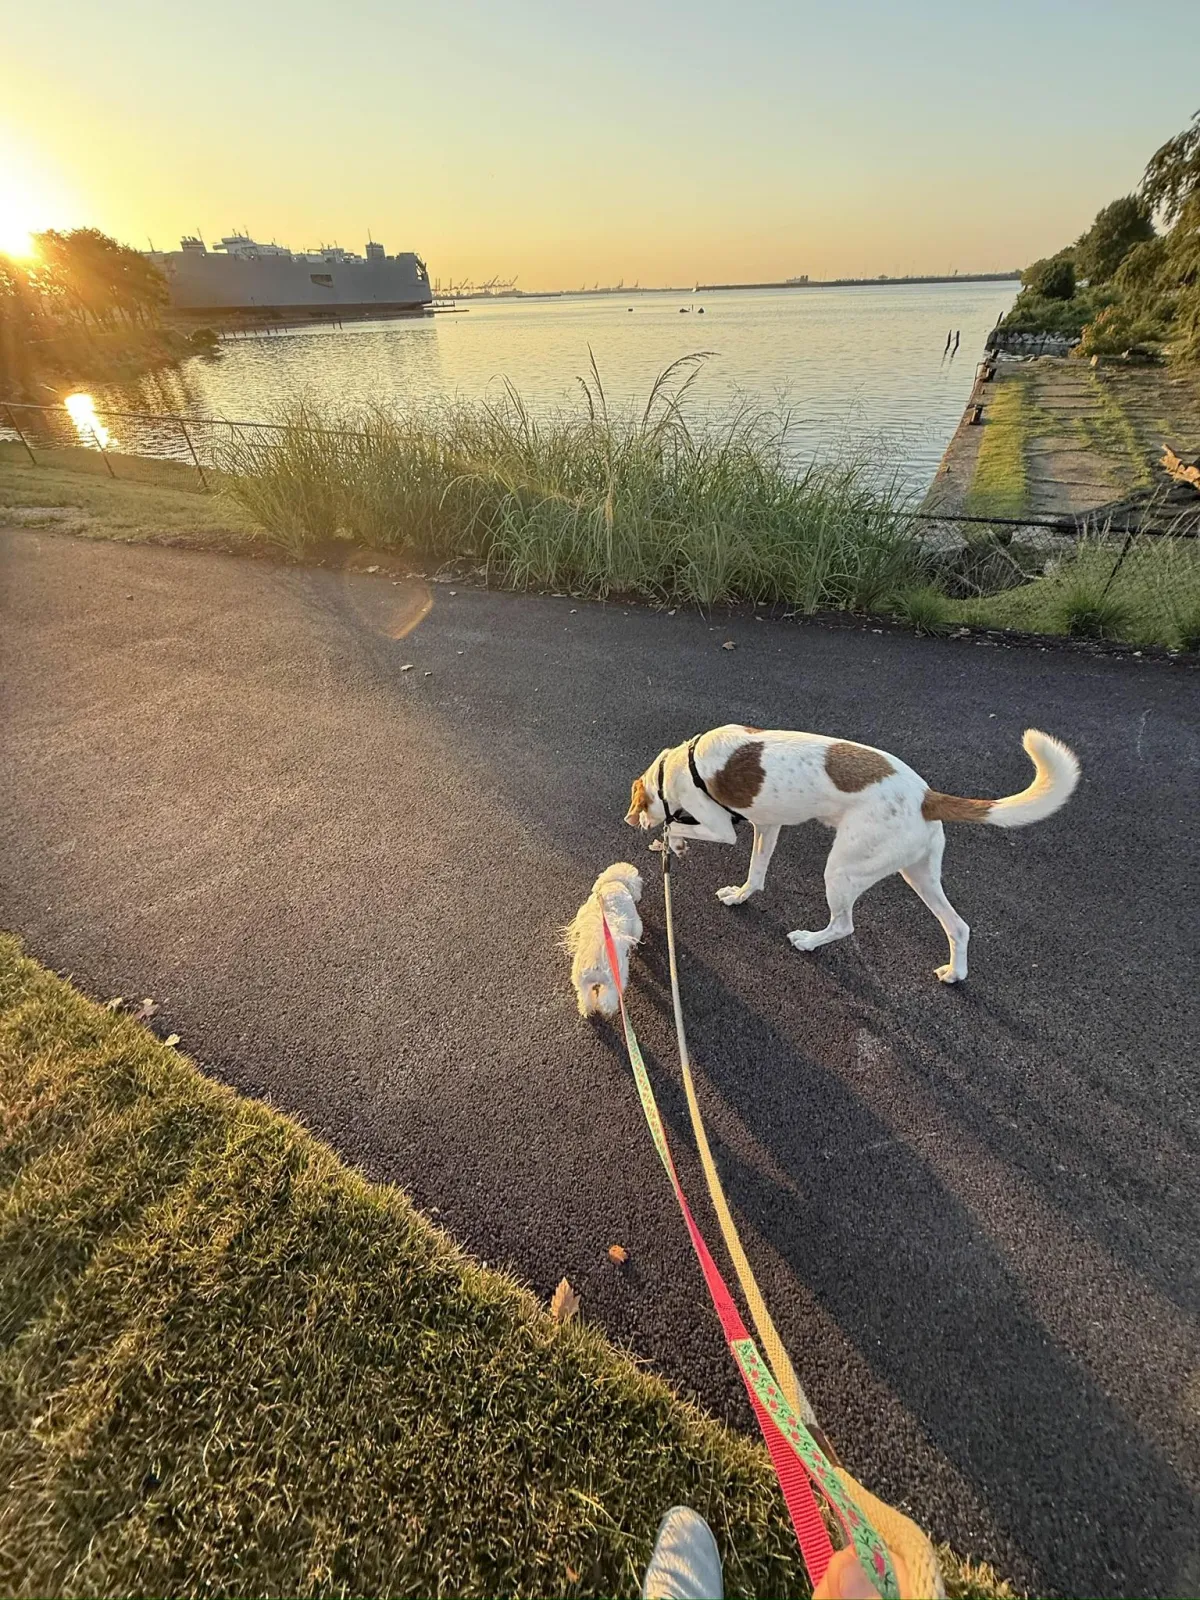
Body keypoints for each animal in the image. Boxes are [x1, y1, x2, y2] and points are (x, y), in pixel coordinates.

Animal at [564, 863, 644, 1016]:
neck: (614, 884)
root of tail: (596, 963)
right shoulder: (635, 921)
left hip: (581, 980)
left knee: (585, 995)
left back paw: (586, 1009)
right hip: (615, 981)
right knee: (608, 999)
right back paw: (608, 1011)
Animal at [625, 725, 1079, 983]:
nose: (632, 822)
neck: (675, 765)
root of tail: (926, 796)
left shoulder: (721, 827)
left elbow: (679, 825)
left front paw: (672, 841)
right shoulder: (768, 827)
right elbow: (756, 873)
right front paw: (740, 895)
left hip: (842, 870)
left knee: (843, 925)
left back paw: (809, 941)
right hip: (918, 873)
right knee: (959, 926)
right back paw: (955, 972)